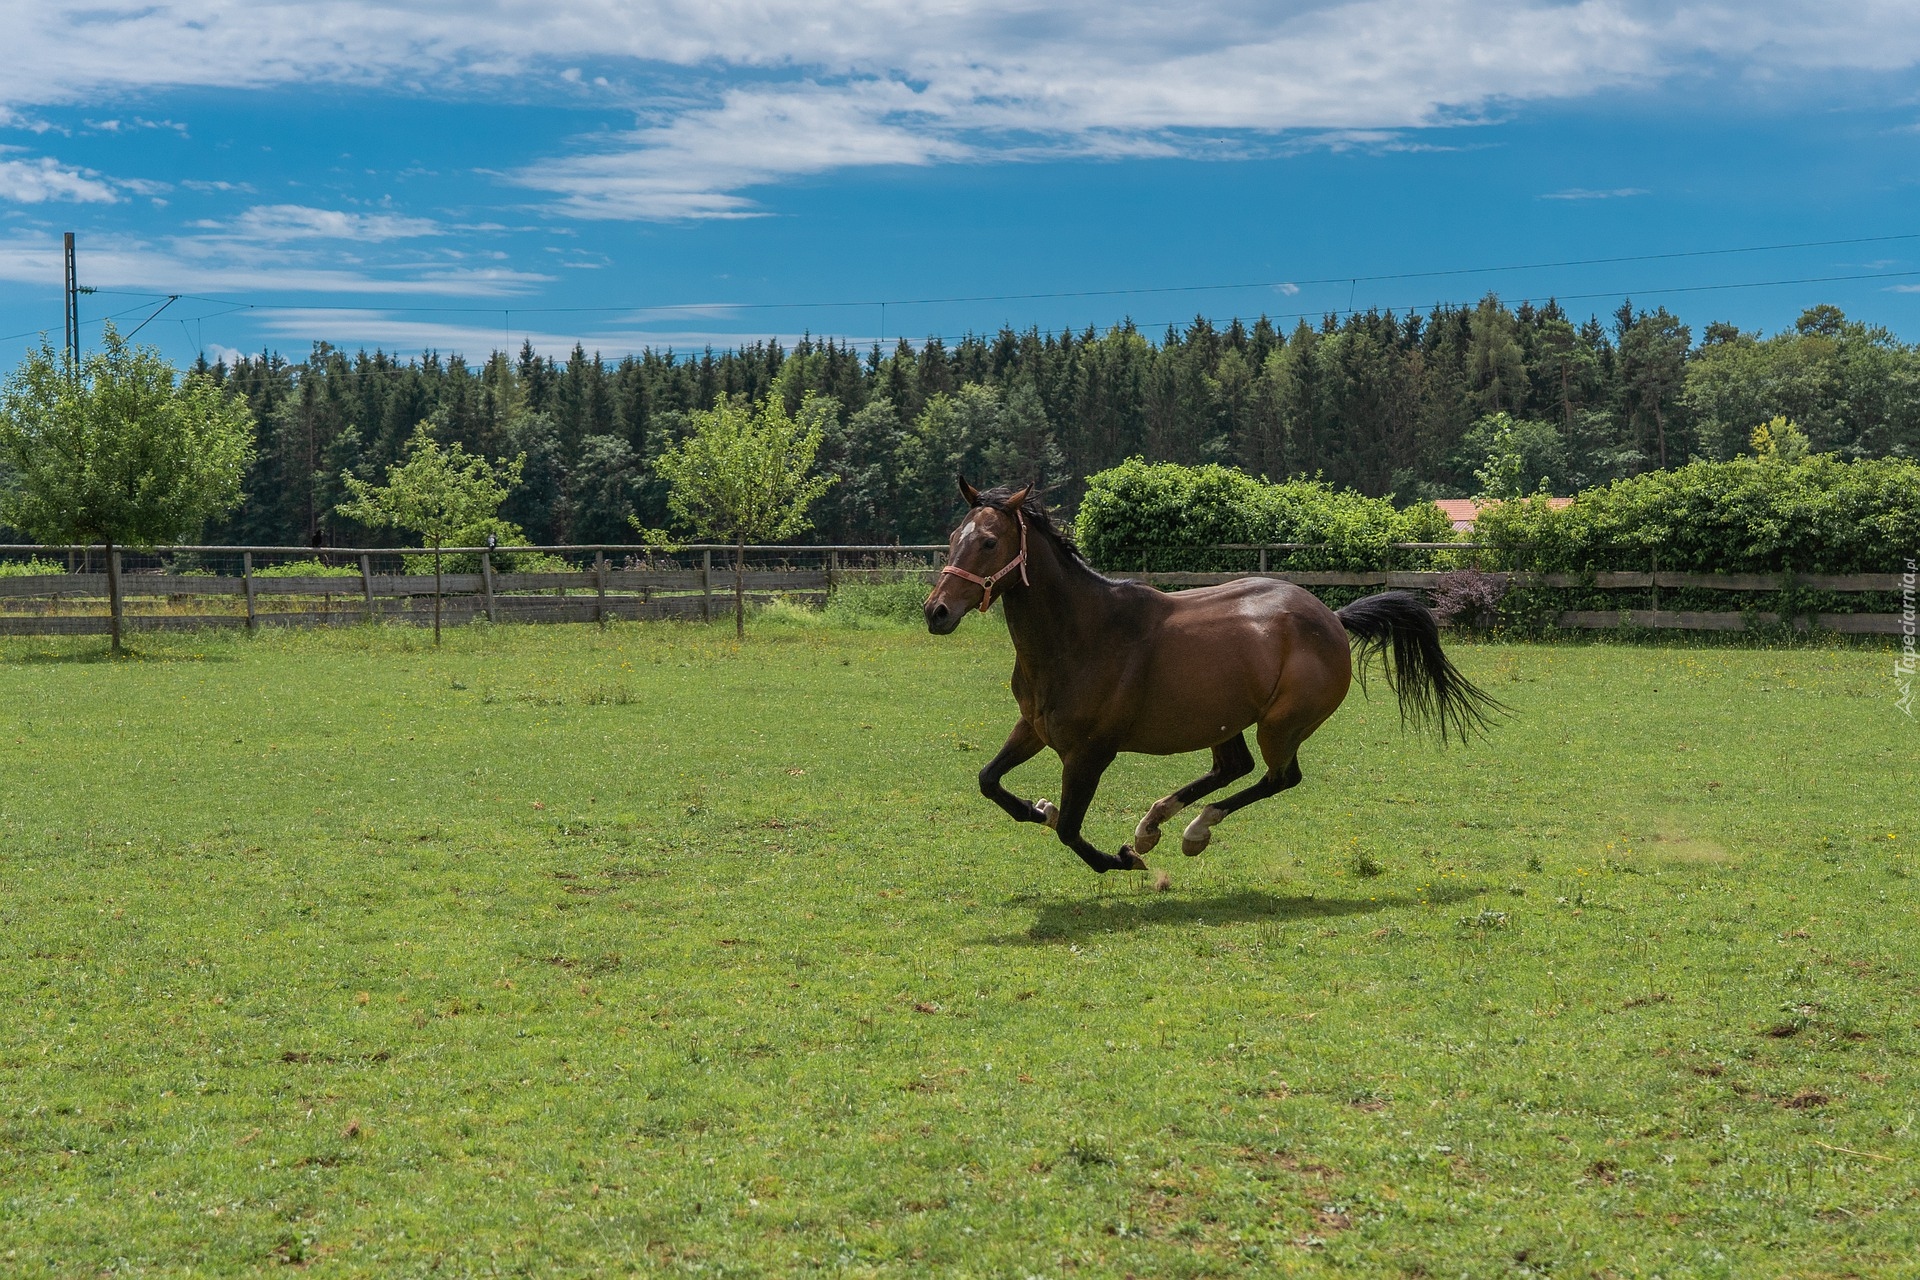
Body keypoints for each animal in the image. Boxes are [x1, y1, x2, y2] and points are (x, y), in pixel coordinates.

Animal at [917, 485, 1497, 875]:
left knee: (1278, 777)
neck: (1082, 634)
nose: (936, 612)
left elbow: (1070, 830)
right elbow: (990, 781)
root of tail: (1333, 618)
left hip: (1280, 724)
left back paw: (1192, 831)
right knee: (1234, 767)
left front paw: (1120, 860)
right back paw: (1153, 825)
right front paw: (1040, 808)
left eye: (989, 543)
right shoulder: (1034, 728)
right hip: (1225, 719)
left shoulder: (1089, 753)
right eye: (952, 537)